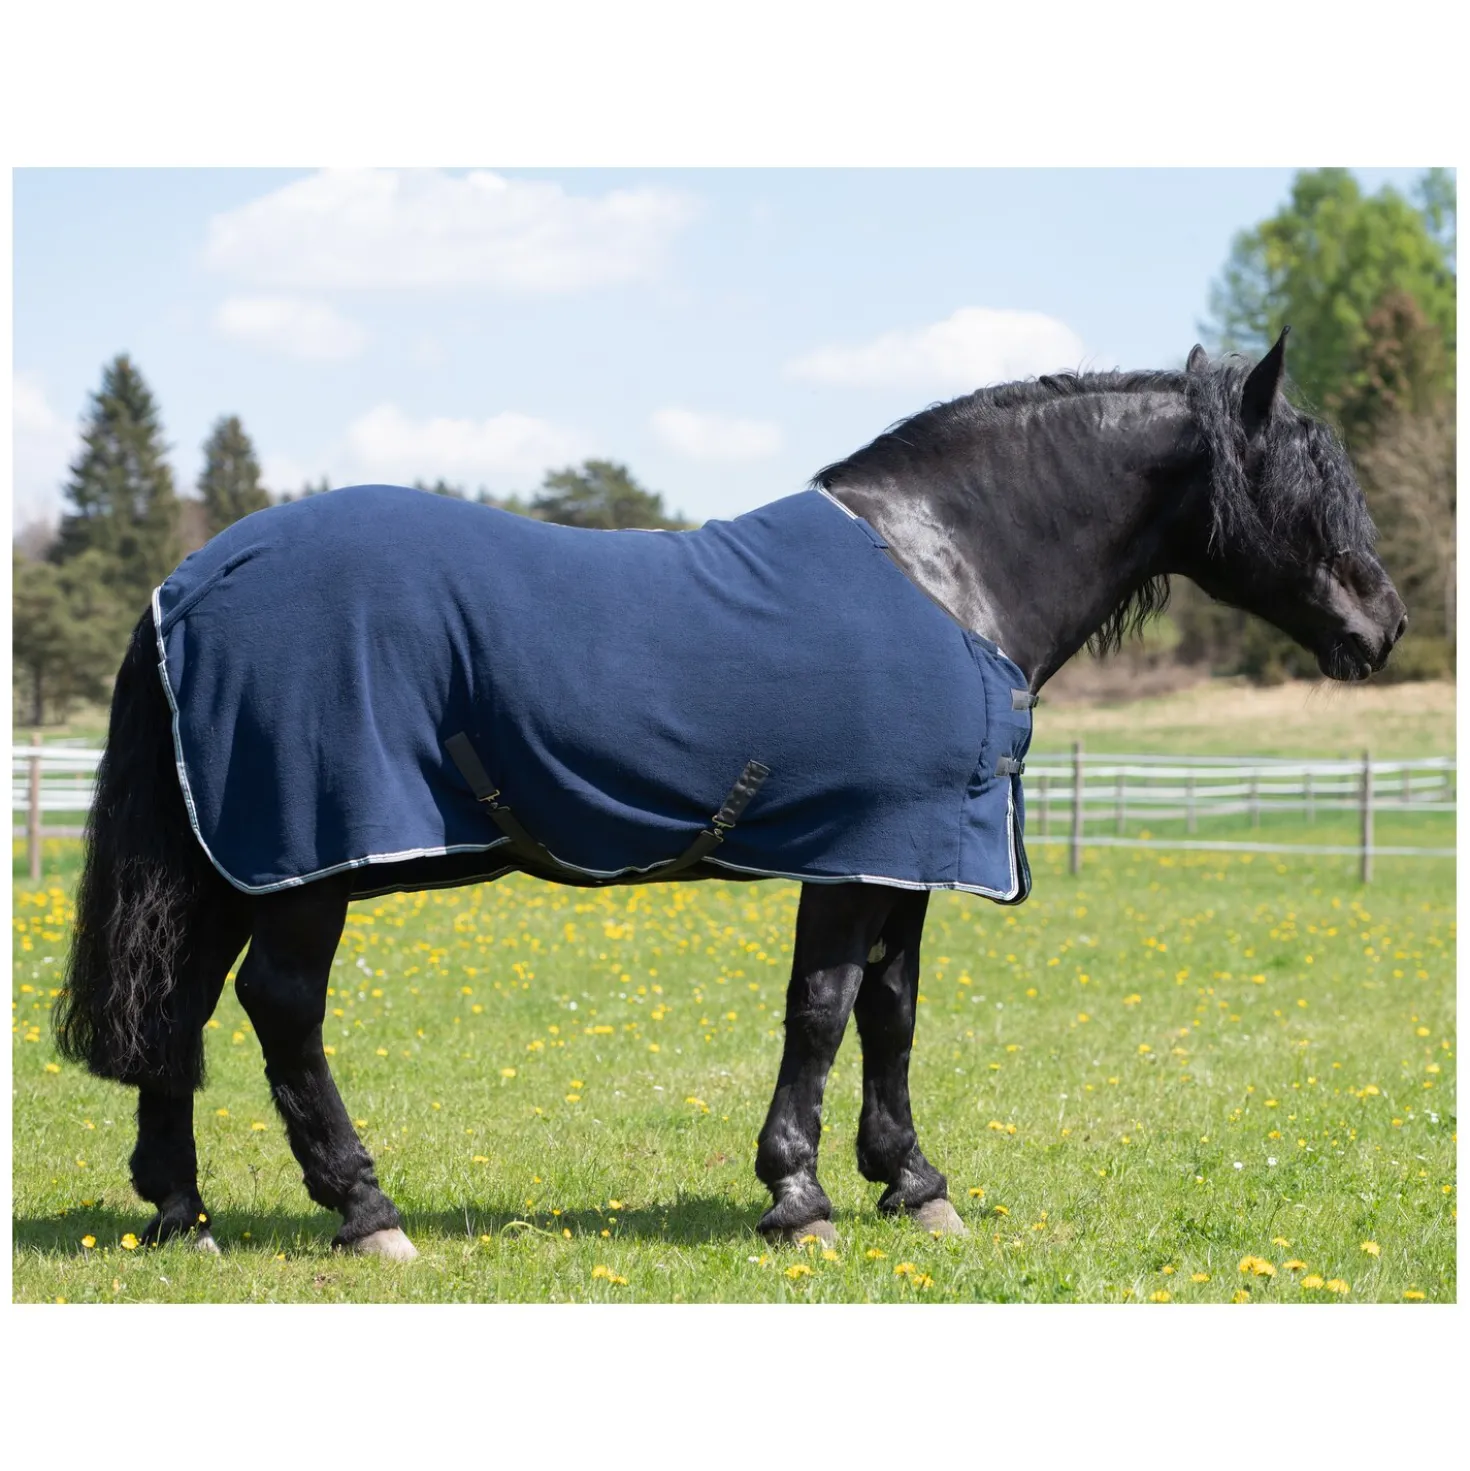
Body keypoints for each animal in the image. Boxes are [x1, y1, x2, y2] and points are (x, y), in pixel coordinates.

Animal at [54, 331, 1406, 1260]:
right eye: (1307, 487)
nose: (1382, 625)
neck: (949, 566)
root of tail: (190, 579)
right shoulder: (857, 854)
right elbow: (822, 1011)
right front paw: (799, 1196)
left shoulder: (913, 856)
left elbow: (891, 1015)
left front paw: (915, 1187)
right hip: (308, 858)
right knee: (280, 1010)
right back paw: (365, 1209)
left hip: (236, 853)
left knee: (178, 1008)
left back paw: (182, 1213)